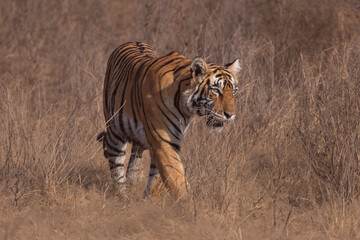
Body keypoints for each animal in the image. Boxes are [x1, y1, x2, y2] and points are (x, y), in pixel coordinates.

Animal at [97, 41, 240, 199]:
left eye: (234, 91)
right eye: (215, 90)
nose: (230, 114)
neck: (185, 108)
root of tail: (131, 42)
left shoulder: (170, 141)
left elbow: (158, 179)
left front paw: (150, 200)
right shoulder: (162, 141)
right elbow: (176, 178)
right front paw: (188, 203)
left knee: (135, 155)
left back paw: (132, 181)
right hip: (114, 130)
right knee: (116, 162)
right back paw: (122, 195)